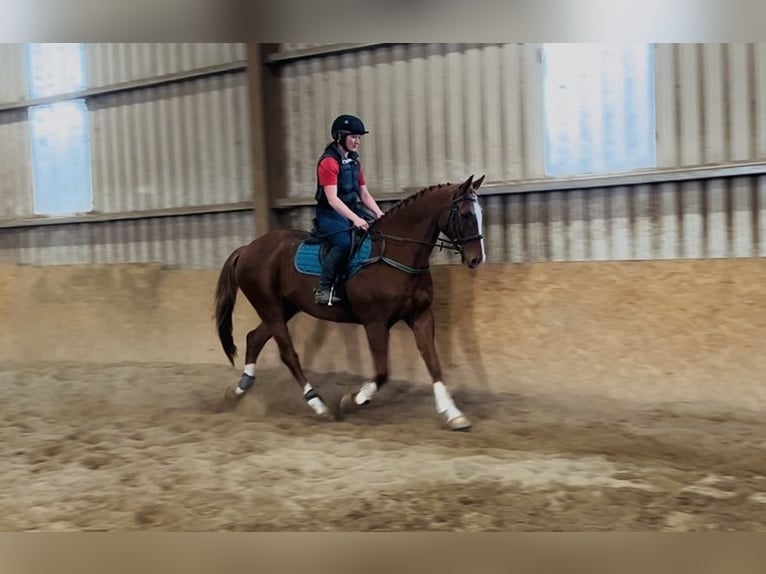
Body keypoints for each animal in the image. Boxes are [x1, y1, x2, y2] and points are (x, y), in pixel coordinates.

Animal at [214, 174, 486, 430]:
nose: (476, 259)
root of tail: (247, 249)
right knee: (288, 354)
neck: (396, 252)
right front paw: (352, 400)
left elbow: (433, 363)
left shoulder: (420, 316)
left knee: (254, 339)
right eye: (465, 214)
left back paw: (237, 391)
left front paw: (454, 415)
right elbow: (382, 372)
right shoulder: (375, 322)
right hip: (269, 306)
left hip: (283, 308)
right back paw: (319, 405)